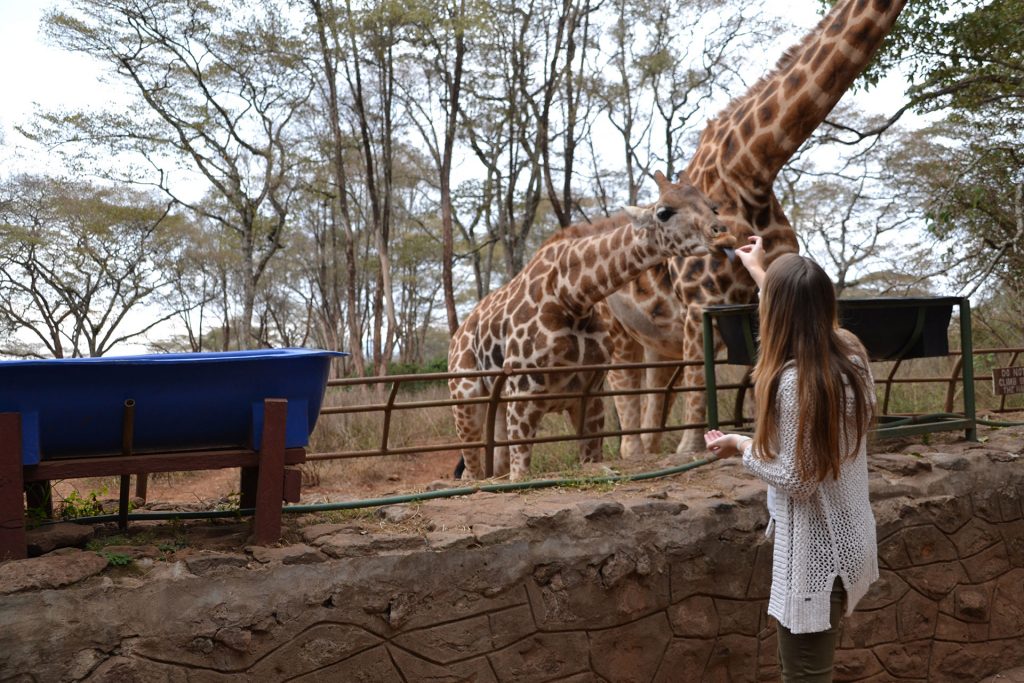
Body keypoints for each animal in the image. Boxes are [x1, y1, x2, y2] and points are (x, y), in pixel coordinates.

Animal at [448, 171, 729, 481]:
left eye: (713, 206)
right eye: (664, 212)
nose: (720, 231)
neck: (572, 297)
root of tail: (457, 336)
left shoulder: (590, 396)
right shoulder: (523, 396)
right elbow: (520, 476)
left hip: (495, 407)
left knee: (489, 467)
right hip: (465, 399)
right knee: (471, 472)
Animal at [602, 0, 909, 456]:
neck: (752, 170)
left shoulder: (757, 290)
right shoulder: (700, 302)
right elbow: (700, 378)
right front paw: (691, 450)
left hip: (656, 341)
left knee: (655, 391)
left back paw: (650, 450)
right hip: (616, 333)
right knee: (624, 388)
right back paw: (637, 454)